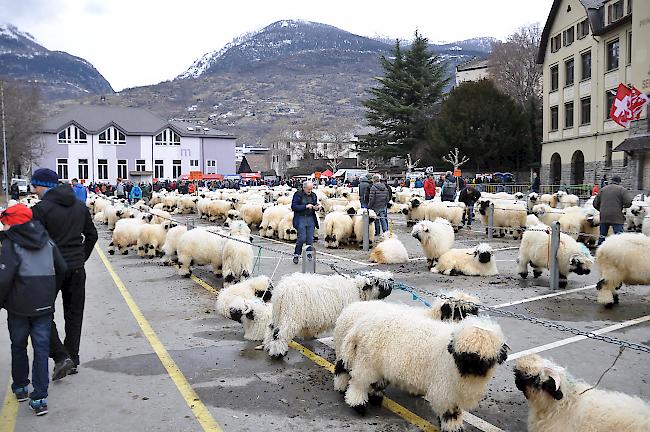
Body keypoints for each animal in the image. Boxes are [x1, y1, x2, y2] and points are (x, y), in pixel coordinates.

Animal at [262, 270, 392, 358]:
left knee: (270, 328)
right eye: (379, 282)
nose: (392, 282)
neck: (358, 290)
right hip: (291, 315)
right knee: (279, 333)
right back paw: (277, 352)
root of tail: (281, 292)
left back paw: (268, 345)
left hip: (278, 314)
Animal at [336, 314, 508, 432]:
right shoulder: (445, 389)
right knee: (358, 384)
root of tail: (361, 325)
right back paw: (359, 405)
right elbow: (450, 413)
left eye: (486, 359)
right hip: (367, 363)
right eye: (463, 355)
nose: (471, 368)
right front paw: (452, 428)